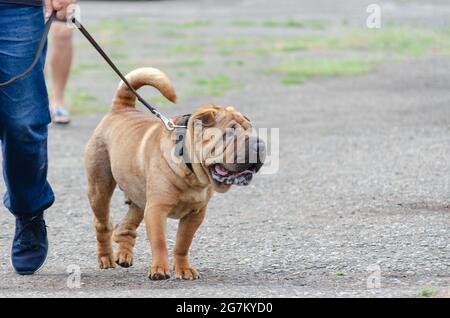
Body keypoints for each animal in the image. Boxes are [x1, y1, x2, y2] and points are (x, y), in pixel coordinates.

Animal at [85, 66, 264, 278]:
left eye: (252, 131)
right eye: (229, 134)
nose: (259, 144)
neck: (191, 172)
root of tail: (121, 108)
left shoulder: (195, 214)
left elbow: (182, 244)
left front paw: (184, 269)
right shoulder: (156, 209)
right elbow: (160, 242)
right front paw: (159, 269)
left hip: (139, 199)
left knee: (125, 227)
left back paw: (124, 255)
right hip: (100, 189)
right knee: (103, 225)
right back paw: (106, 258)